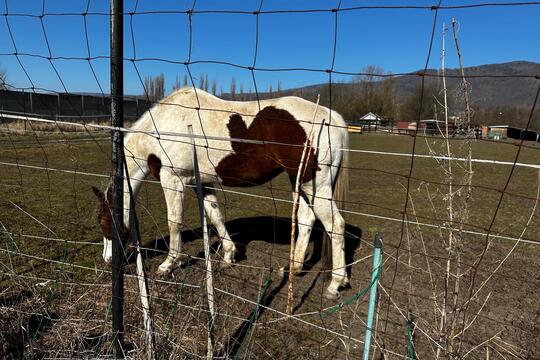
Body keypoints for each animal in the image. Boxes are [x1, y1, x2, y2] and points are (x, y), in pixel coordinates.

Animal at [93, 86, 350, 298]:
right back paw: (294, 269)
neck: (165, 124)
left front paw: (169, 264)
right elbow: (215, 216)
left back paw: (335, 284)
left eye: (103, 221)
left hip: (314, 184)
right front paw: (228, 255)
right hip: (302, 183)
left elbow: (174, 222)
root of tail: (333, 117)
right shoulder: (201, 183)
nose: (107, 260)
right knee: (307, 220)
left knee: (335, 225)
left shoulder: (173, 180)